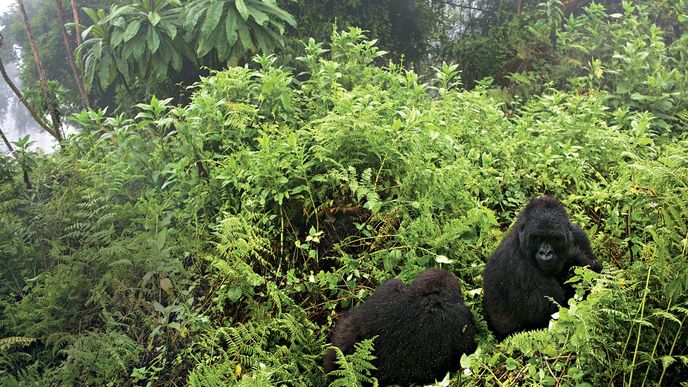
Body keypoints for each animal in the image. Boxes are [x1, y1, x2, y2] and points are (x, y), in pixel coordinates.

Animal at [482, 196, 600, 342]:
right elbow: (553, 312)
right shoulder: (516, 264)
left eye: (554, 239)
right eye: (538, 238)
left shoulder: (578, 234)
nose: (546, 253)